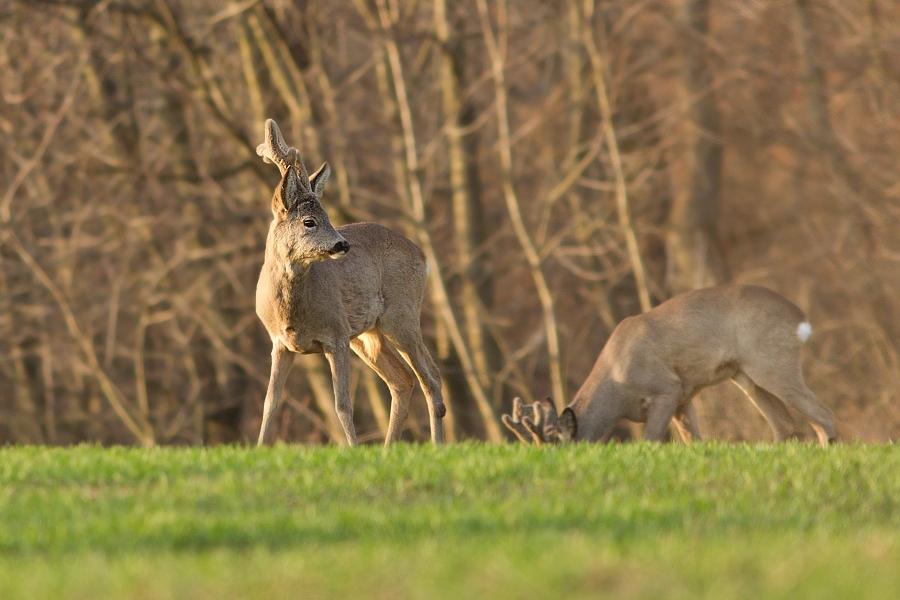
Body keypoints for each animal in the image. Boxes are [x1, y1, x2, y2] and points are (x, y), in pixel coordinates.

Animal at [255, 118, 444, 446]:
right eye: (309, 221)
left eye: (329, 217)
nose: (342, 244)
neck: (292, 311)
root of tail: (422, 255)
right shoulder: (279, 343)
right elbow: (270, 404)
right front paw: (259, 447)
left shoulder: (337, 336)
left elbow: (342, 404)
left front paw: (353, 448)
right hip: (368, 334)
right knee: (402, 380)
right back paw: (387, 449)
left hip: (401, 315)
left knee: (430, 378)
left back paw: (437, 446)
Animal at [500, 284, 836, 446]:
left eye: (557, 445)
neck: (616, 387)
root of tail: (800, 319)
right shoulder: (684, 398)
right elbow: (694, 442)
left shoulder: (666, 389)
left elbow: (650, 441)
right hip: (746, 376)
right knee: (785, 424)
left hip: (772, 362)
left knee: (822, 413)